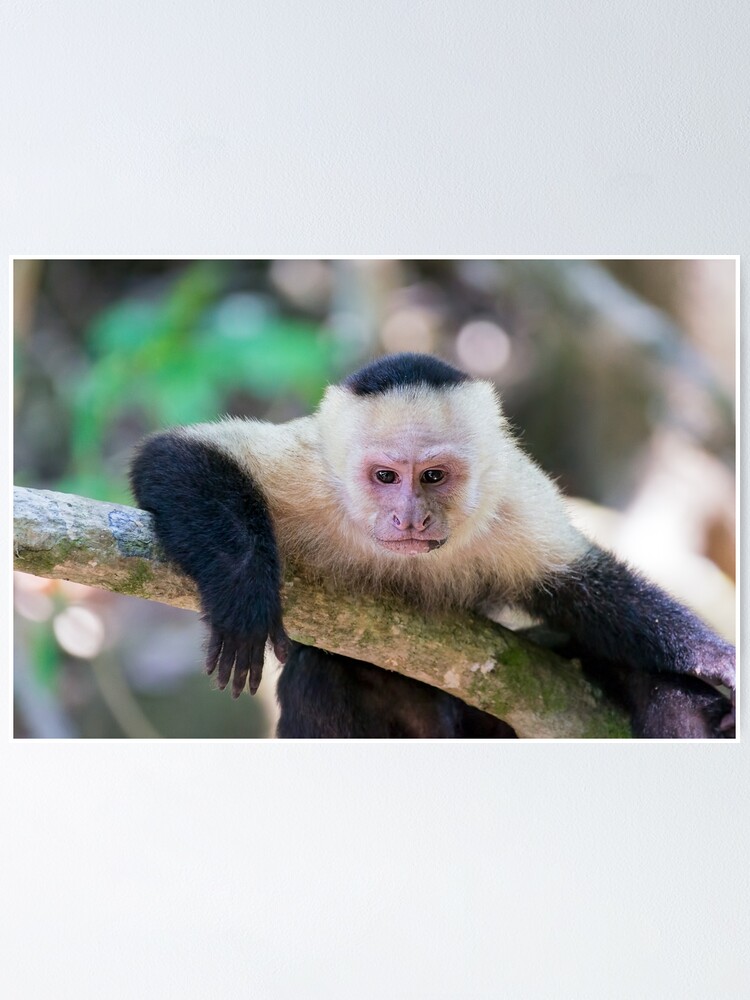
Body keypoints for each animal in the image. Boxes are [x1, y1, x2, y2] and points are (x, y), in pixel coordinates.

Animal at [130, 352, 735, 739]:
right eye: (386, 477)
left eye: (434, 477)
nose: (410, 518)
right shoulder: (315, 472)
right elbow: (173, 456)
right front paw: (244, 593)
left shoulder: (510, 499)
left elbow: (583, 591)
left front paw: (714, 659)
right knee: (321, 676)